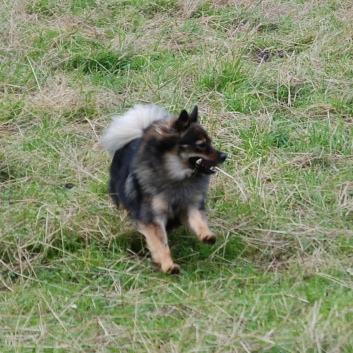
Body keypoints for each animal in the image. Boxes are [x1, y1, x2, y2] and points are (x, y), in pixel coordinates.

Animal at [102, 103, 227, 274]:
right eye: (201, 145)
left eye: (210, 142)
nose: (224, 156)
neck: (177, 176)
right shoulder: (153, 217)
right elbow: (161, 244)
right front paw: (168, 266)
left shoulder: (191, 205)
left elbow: (199, 222)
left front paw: (207, 236)